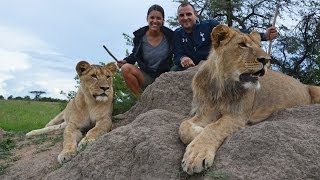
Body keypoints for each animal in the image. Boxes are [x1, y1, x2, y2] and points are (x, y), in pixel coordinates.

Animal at [179, 24, 320, 174]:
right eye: (242, 45)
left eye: (260, 46)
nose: (266, 60)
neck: (222, 87)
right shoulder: (206, 111)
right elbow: (183, 126)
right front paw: (198, 131)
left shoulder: (238, 115)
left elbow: (214, 127)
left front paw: (196, 155)